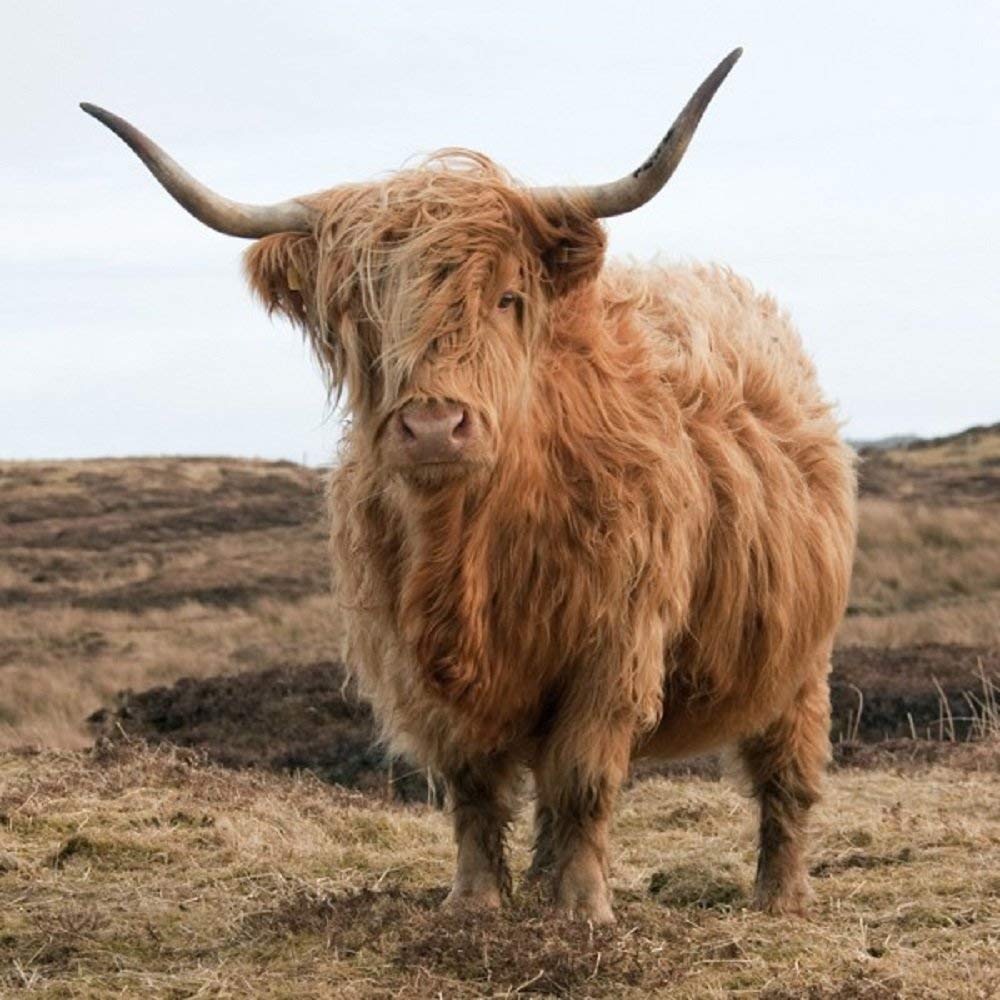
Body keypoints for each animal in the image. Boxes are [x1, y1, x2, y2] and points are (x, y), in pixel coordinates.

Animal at [82, 48, 856, 922]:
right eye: (360, 313)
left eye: (508, 297)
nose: (432, 426)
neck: (470, 547)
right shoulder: (413, 661)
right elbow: (473, 788)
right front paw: (477, 903)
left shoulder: (615, 644)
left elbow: (583, 779)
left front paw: (582, 912)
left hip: (802, 660)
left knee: (786, 775)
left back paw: (779, 897)